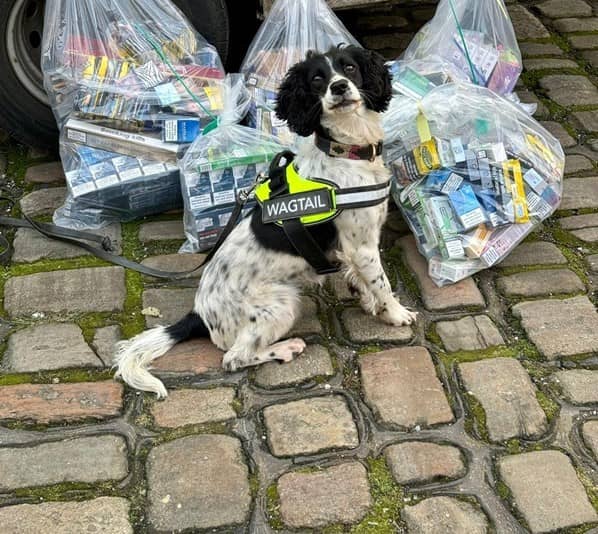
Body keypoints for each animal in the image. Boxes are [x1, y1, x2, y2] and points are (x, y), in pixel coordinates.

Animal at [116, 46, 418, 398]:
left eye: (350, 68)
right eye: (317, 79)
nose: (339, 87)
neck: (344, 153)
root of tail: (199, 314)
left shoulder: (356, 248)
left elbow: (363, 279)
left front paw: (370, 302)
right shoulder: (363, 247)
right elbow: (382, 282)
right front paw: (395, 313)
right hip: (281, 303)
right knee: (233, 358)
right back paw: (284, 349)